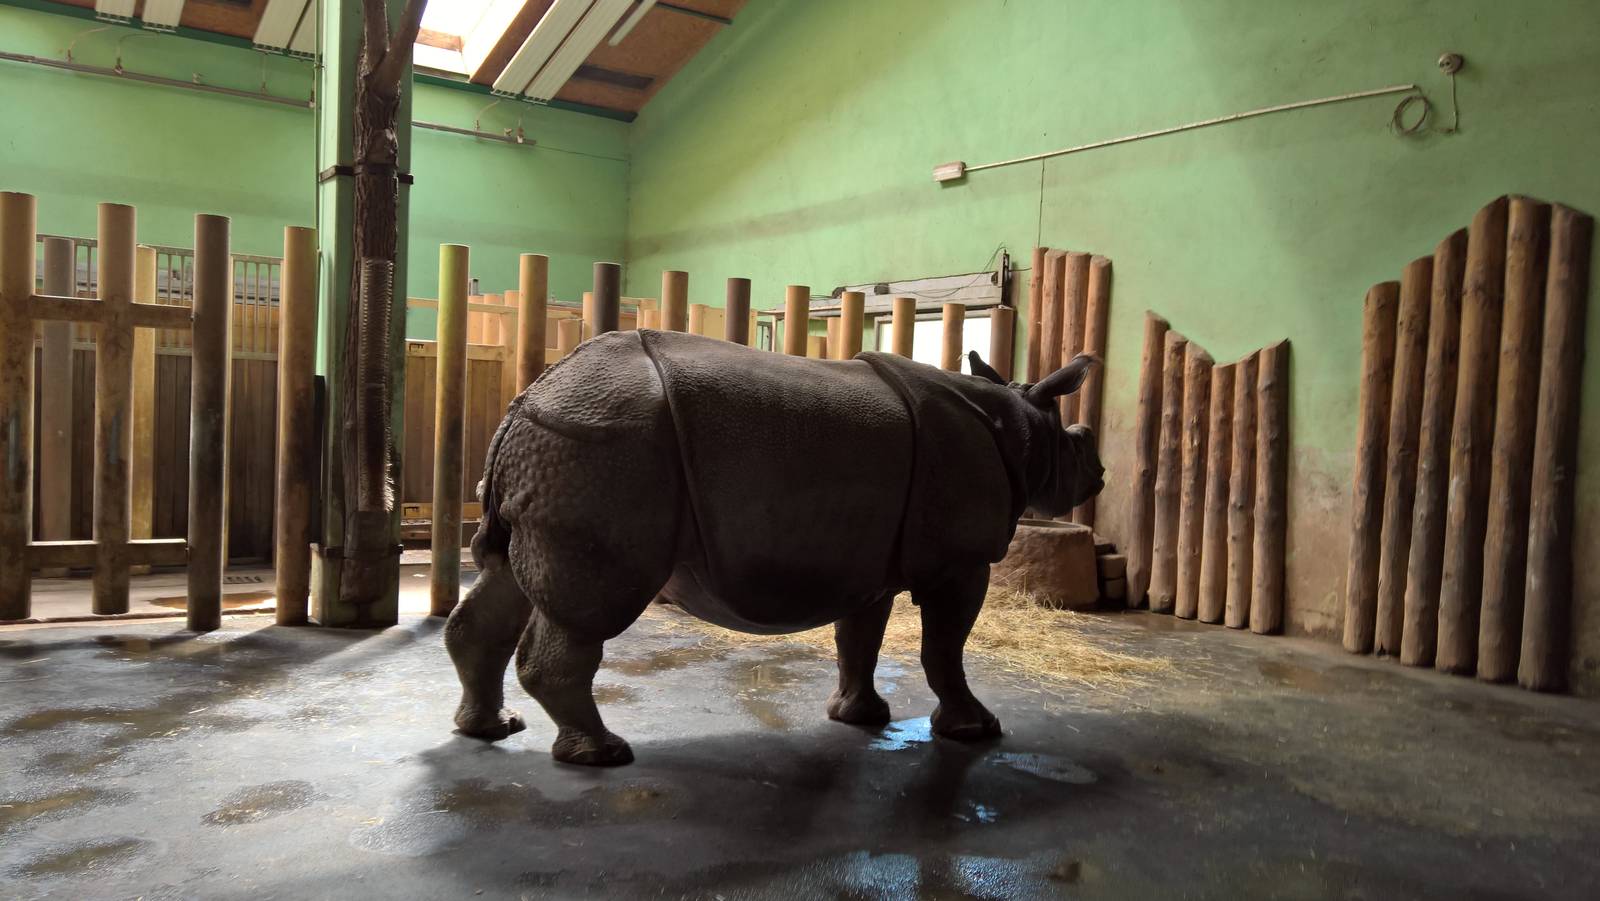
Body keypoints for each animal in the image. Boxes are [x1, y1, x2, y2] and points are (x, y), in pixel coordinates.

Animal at [444, 329, 1104, 766]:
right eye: (1080, 441)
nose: (1100, 475)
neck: (1021, 427)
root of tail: (532, 395)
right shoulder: (961, 562)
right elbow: (944, 647)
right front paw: (976, 731)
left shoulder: (868, 554)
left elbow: (858, 638)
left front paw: (859, 719)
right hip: (604, 448)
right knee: (586, 610)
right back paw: (604, 756)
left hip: (562, 448)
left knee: (506, 584)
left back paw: (492, 730)